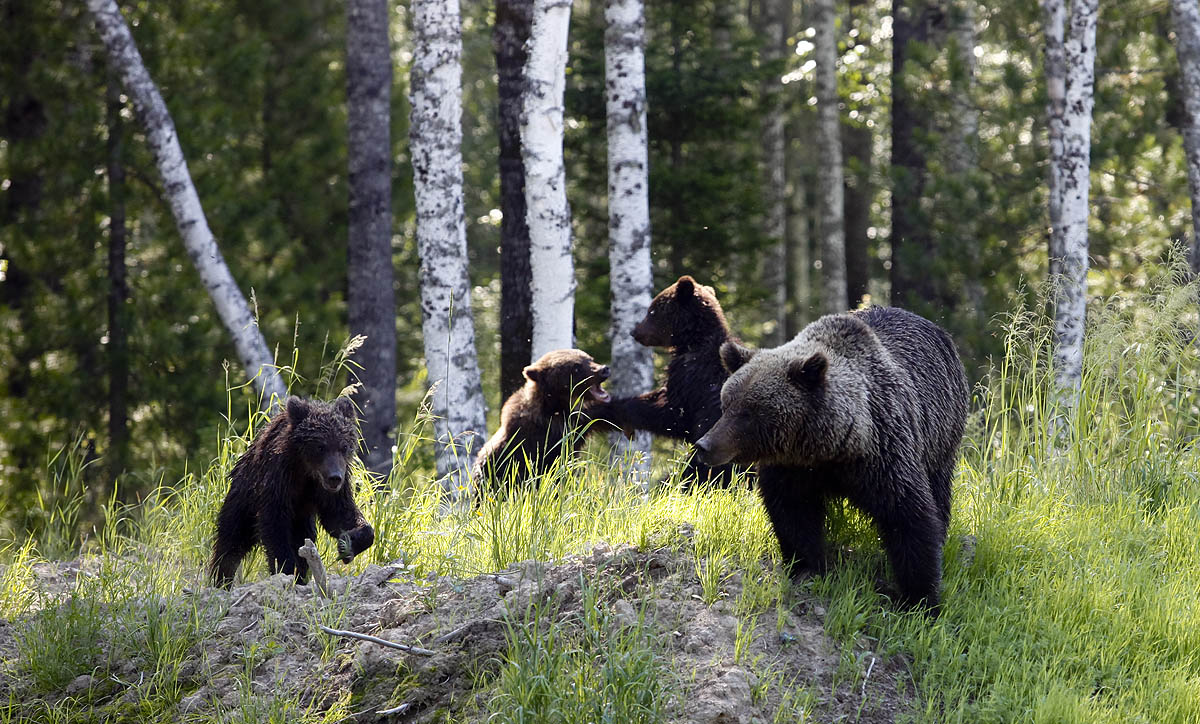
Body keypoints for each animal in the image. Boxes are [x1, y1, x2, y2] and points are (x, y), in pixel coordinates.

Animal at [208, 396, 372, 588]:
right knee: (231, 540)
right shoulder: (278, 479)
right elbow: (274, 526)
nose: (334, 477)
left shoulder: (327, 490)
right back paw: (220, 580)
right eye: (320, 446)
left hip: (302, 521)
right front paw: (286, 571)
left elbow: (340, 515)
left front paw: (347, 545)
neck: (306, 471)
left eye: (344, 446)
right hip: (244, 498)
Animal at [604, 274, 734, 489]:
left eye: (652, 311)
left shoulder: (691, 377)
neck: (692, 342)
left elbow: (673, 415)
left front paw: (623, 407)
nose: (635, 332)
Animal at [696, 307, 964, 612]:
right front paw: (807, 568)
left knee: (938, 491)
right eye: (726, 404)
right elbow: (794, 514)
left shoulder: (883, 458)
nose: (704, 445)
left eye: (748, 413)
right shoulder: (792, 470)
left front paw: (919, 598)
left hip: (941, 436)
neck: (829, 447)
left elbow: (908, 516)